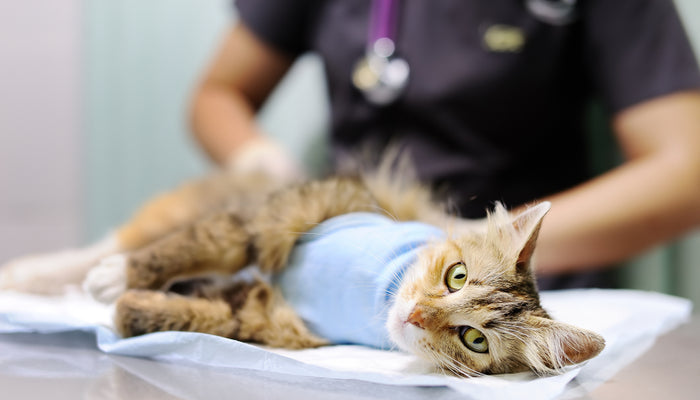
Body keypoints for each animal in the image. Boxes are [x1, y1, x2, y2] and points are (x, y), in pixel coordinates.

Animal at [0, 158, 600, 376]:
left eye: (474, 339)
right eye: (456, 276)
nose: (414, 316)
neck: (376, 291)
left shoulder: (268, 320)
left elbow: (194, 316)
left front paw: (133, 306)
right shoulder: (275, 220)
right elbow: (194, 247)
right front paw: (119, 279)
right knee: (106, 245)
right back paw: (37, 275)